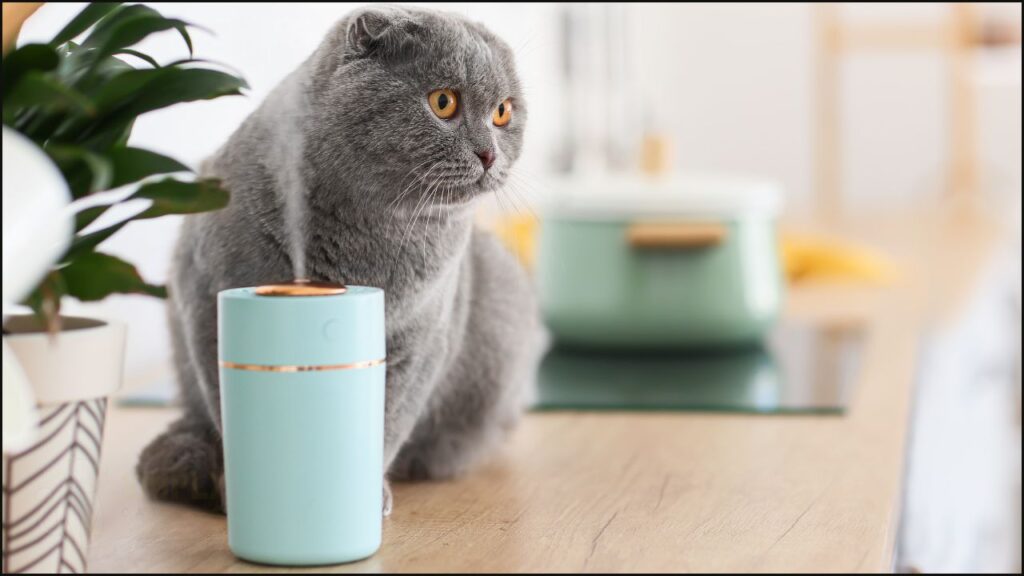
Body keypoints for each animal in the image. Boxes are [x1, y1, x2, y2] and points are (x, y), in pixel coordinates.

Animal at [136, 5, 544, 510]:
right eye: (443, 102)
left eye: (502, 111)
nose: (488, 154)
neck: (375, 232)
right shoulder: (205, 298)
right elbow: (226, 400)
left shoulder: (420, 339)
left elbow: (388, 419)